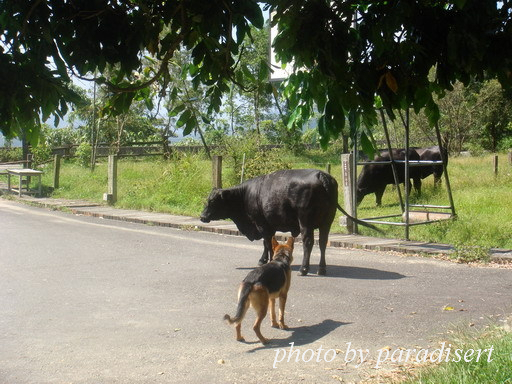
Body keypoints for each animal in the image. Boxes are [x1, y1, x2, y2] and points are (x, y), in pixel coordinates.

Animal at [201, 170, 376, 274]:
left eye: (212, 201)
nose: (202, 216)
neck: (245, 195)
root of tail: (321, 174)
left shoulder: (262, 225)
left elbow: (267, 243)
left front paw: (266, 261)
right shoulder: (268, 226)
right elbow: (267, 243)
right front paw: (265, 259)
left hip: (305, 222)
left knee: (308, 242)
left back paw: (304, 269)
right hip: (326, 221)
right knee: (322, 242)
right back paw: (321, 269)